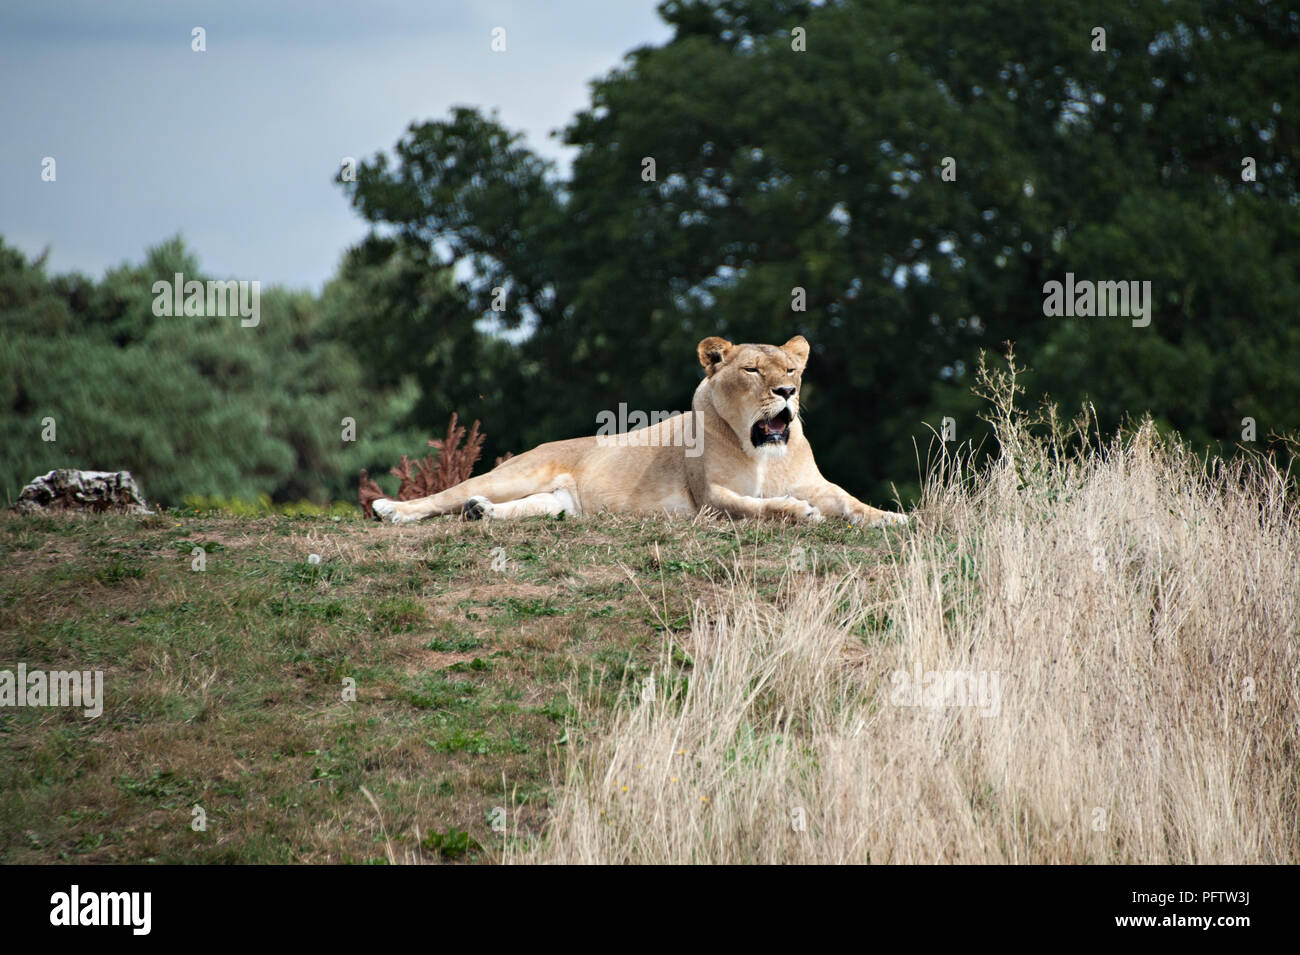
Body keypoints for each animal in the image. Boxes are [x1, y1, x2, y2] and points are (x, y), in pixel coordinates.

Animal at [372, 335, 907, 527]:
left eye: (793, 370)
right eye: (753, 370)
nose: (787, 393)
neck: (761, 452)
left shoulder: (819, 483)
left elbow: (849, 501)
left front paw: (892, 518)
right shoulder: (711, 497)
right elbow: (762, 505)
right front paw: (798, 511)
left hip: (558, 503)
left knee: (532, 508)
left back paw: (480, 512)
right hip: (512, 473)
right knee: (446, 495)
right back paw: (393, 510)